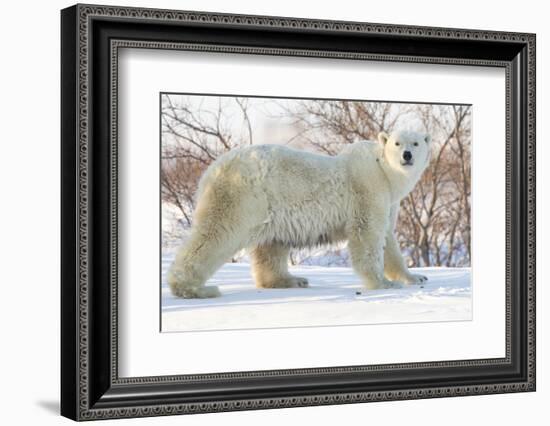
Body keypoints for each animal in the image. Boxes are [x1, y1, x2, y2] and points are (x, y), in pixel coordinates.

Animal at [166, 131, 434, 300]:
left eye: (416, 143)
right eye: (397, 143)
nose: (407, 155)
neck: (383, 170)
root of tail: (211, 171)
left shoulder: (388, 200)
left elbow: (388, 239)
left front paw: (416, 277)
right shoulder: (367, 189)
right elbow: (368, 235)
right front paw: (383, 284)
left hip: (270, 206)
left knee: (271, 245)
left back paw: (292, 280)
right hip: (241, 195)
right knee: (216, 233)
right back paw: (192, 288)